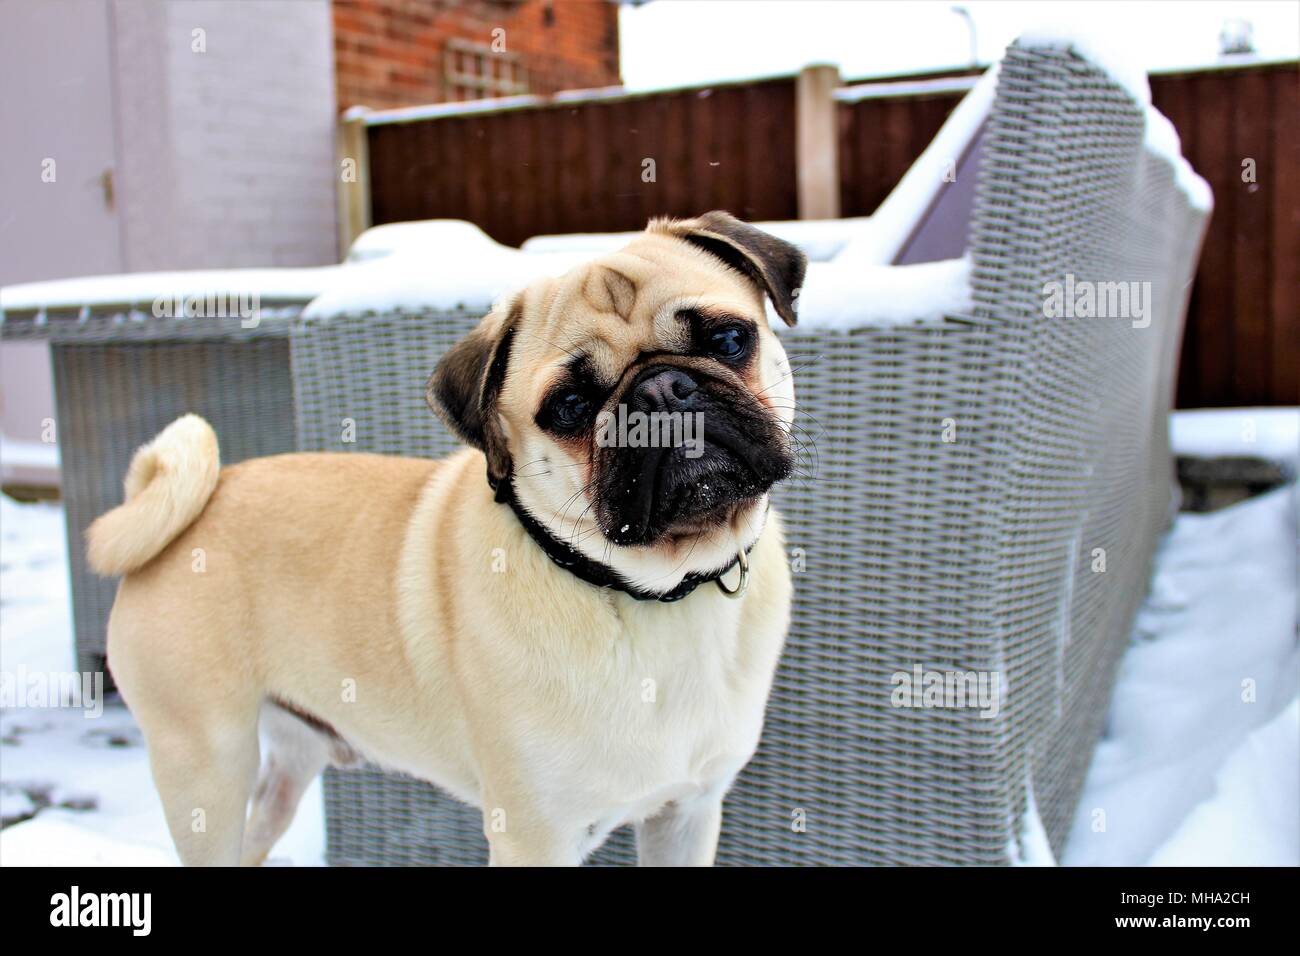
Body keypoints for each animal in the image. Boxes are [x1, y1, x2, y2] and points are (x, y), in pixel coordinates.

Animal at [86, 210, 800, 868]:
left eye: (728, 338)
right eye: (569, 407)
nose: (661, 391)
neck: (659, 591)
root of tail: (201, 505)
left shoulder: (687, 814)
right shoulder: (534, 838)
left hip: (287, 761)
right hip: (206, 768)